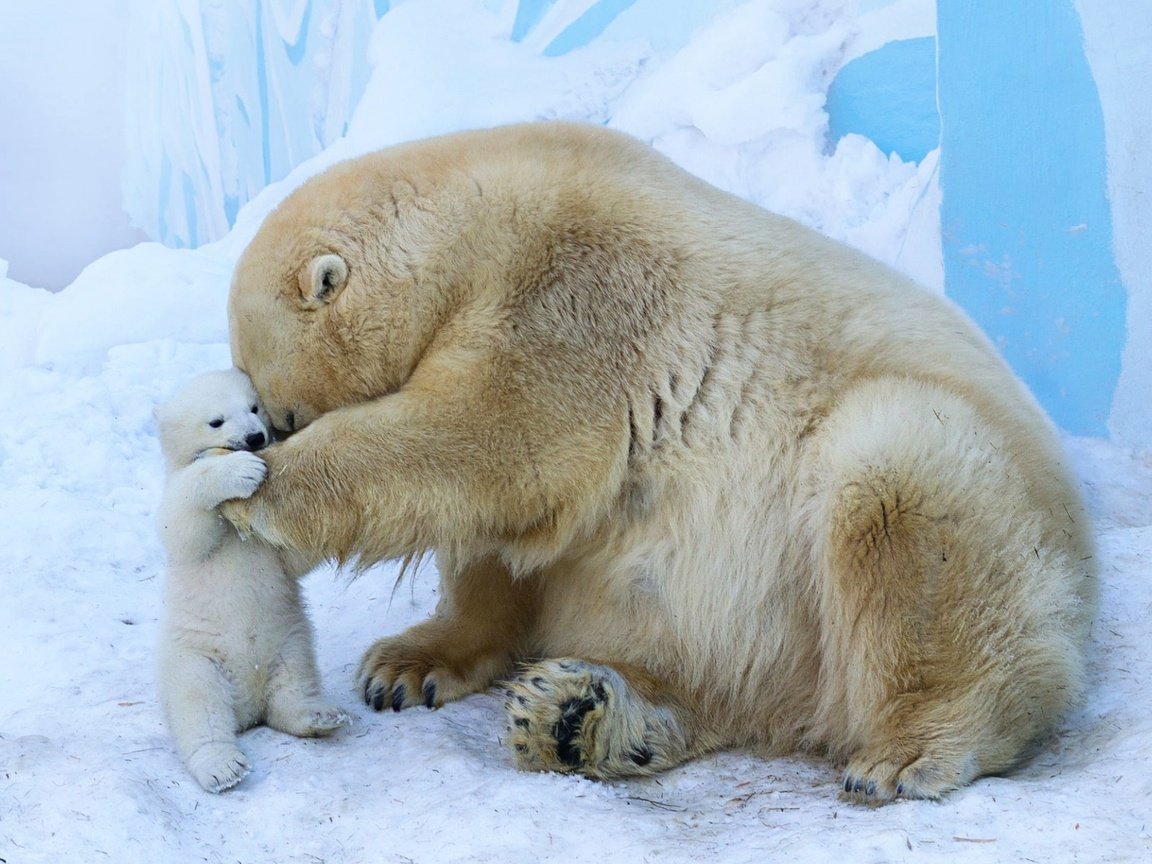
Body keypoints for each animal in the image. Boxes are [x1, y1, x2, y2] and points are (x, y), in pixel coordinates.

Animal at [155, 368, 347, 797]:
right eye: (216, 420)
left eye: (254, 407)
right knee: (200, 708)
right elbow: (184, 526)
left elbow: (292, 559)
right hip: (196, 659)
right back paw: (222, 767)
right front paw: (242, 471)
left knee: (293, 683)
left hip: (289, 641)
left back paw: (319, 714)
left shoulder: (269, 548)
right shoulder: (179, 499)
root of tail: (248, 709)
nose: (256, 438)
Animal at [217, 122, 1096, 806]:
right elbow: (505, 536)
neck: (476, 221)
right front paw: (407, 664)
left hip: (961, 495)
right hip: (760, 635)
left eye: (278, 410)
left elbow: (491, 441)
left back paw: (911, 749)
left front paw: (254, 495)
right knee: (712, 675)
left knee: (900, 490)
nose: (264, 433)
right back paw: (578, 719)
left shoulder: (577, 293)